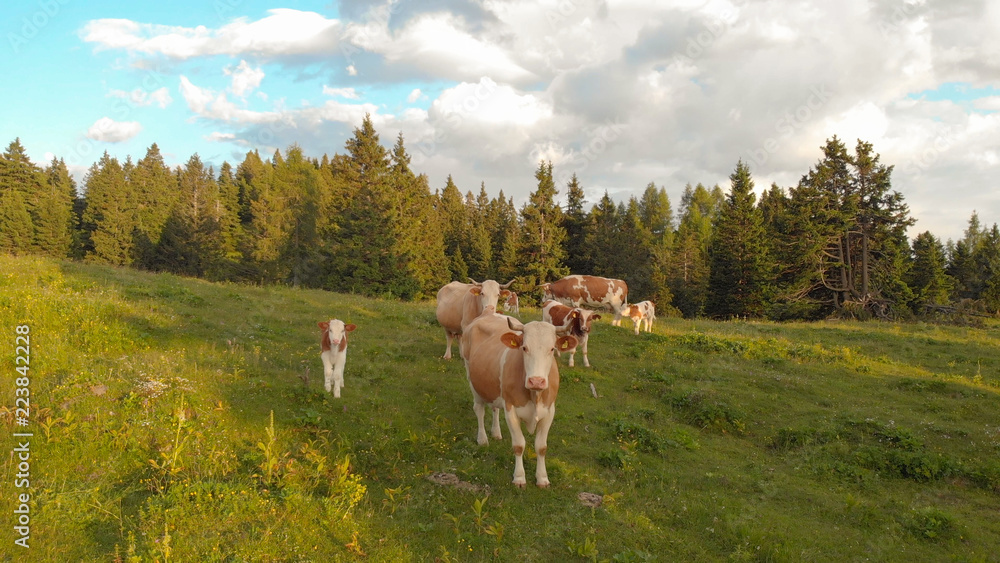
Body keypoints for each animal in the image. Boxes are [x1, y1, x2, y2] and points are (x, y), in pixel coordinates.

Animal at [462, 312, 580, 490]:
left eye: (552, 349)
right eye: (524, 348)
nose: (536, 381)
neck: (534, 395)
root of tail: (489, 313)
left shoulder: (549, 411)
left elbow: (541, 447)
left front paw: (542, 478)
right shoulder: (511, 410)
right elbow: (519, 445)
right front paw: (519, 478)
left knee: (495, 408)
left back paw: (496, 432)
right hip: (471, 376)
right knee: (479, 410)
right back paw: (482, 438)